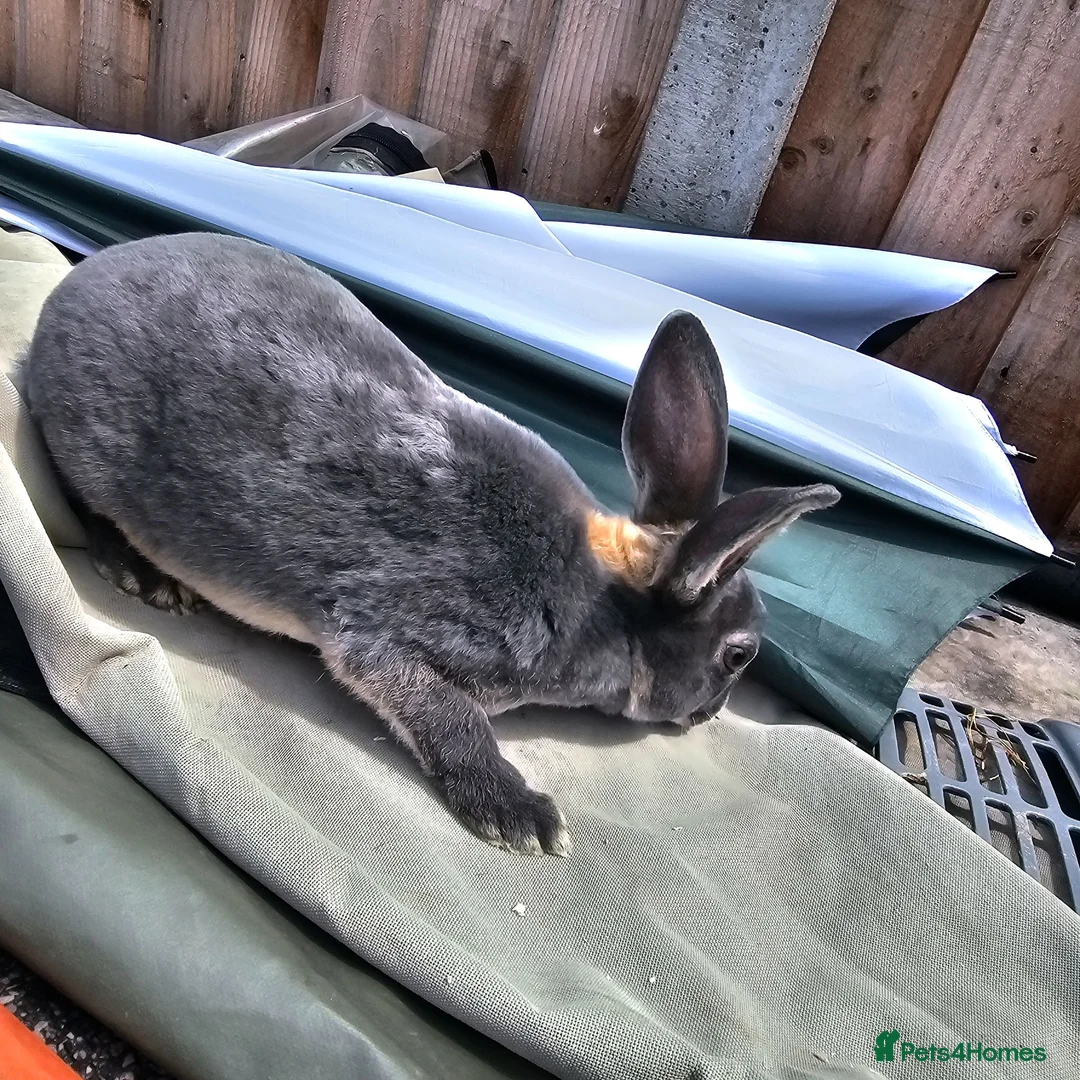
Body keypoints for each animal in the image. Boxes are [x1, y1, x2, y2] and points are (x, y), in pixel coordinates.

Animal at [25, 232, 839, 855]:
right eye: (737, 656)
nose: (710, 715)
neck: (599, 596)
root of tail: (61, 305)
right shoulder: (391, 636)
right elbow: (450, 719)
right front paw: (524, 819)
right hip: (95, 458)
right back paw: (144, 576)